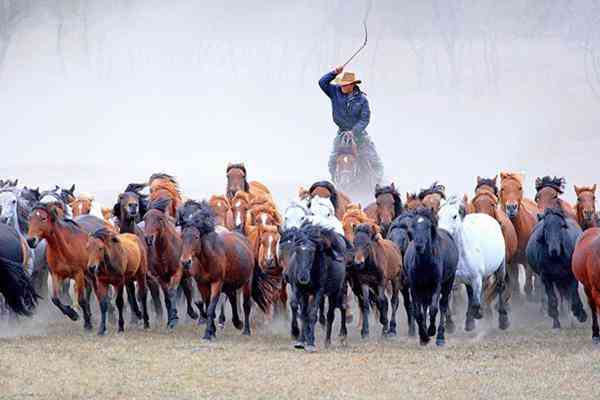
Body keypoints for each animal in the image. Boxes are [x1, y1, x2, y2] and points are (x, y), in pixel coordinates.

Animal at [143, 197, 197, 328]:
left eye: (159, 218)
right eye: (145, 218)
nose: (148, 238)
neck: (164, 251)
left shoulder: (177, 272)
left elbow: (172, 293)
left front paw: (174, 319)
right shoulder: (160, 277)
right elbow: (167, 296)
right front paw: (170, 320)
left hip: (186, 275)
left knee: (189, 291)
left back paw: (193, 314)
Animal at [178, 200, 282, 340]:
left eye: (196, 237)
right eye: (182, 236)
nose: (185, 262)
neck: (208, 259)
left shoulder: (217, 283)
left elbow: (211, 307)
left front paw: (207, 334)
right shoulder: (202, 284)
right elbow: (207, 305)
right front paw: (212, 330)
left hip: (246, 282)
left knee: (246, 305)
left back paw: (245, 330)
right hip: (230, 283)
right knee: (232, 298)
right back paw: (236, 322)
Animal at [290, 222, 350, 354]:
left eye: (313, 251)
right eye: (297, 250)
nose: (303, 277)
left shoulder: (319, 291)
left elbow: (312, 314)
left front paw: (311, 343)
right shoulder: (301, 290)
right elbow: (301, 312)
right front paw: (299, 339)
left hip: (336, 291)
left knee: (335, 312)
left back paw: (332, 339)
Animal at [406, 208, 458, 346]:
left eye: (428, 226)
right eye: (413, 225)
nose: (419, 246)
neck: (425, 264)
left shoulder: (436, 285)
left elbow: (434, 308)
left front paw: (431, 331)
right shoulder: (415, 287)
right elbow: (418, 312)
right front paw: (423, 337)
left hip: (448, 282)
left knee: (443, 305)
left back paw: (440, 336)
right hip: (424, 289)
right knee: (425, 306)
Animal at [496, 171, 540, 300]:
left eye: (519, 188)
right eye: (502, 188)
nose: (511, 207)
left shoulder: (528, 262)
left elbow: (528, 285)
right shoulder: (511, 263)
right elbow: (514, 286)